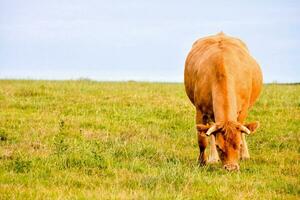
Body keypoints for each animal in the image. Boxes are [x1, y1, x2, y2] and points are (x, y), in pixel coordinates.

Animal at [184, 32, 262, 170]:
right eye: (219, 147)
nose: (231, 168)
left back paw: (245, 155)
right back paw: (213, 158)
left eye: (239, 145)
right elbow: (202, 140)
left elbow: (242, 131)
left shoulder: (243, 110)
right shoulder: (200, 111)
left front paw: (243, 154)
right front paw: (202, 162)